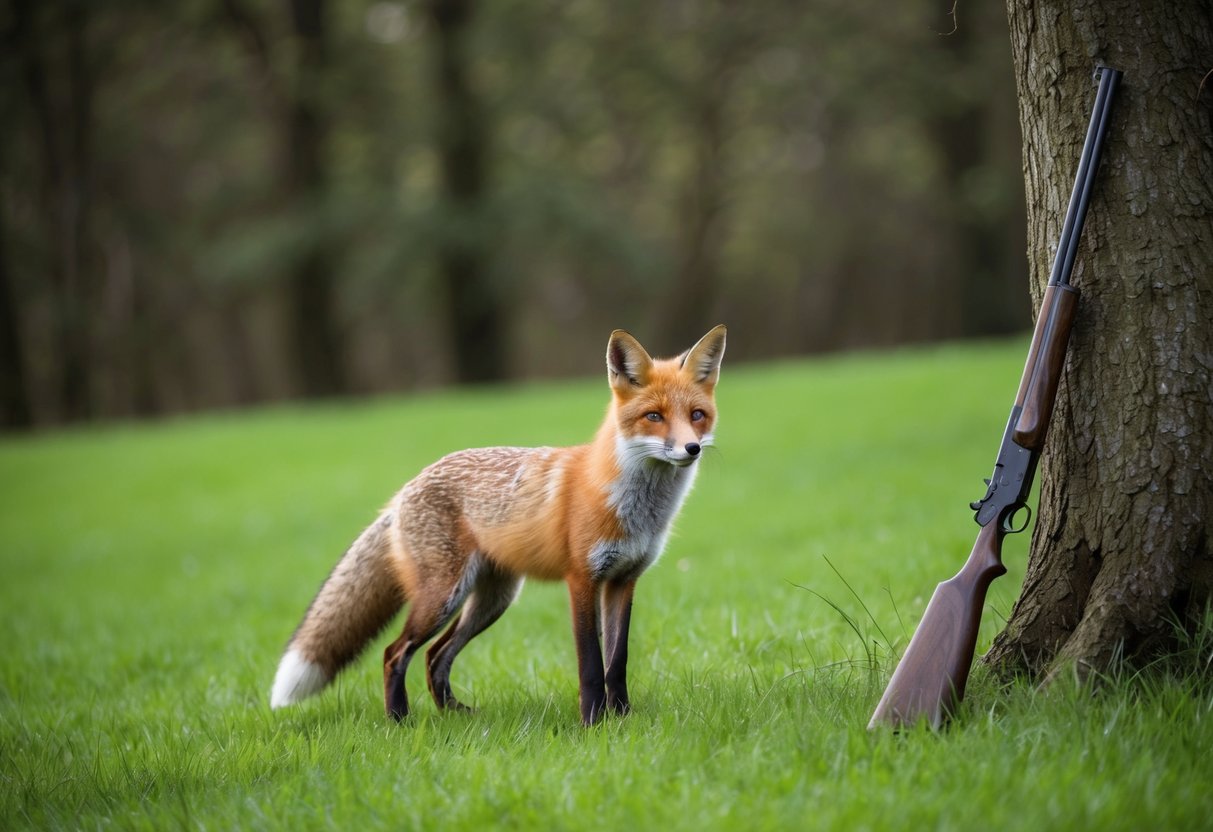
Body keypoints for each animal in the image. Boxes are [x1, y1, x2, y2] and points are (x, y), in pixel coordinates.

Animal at [270, 324, 726, 725]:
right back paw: (400, 720)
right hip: (443, 596)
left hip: (492, 599)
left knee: (436, 655)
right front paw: (593, 723)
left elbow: (618, 662)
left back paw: (454, 715)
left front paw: (623, 719)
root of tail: (404, 490)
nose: (691, 448)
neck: (635, 509)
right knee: (394, 653)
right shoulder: (581, 579)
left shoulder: (623, 580)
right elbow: (592, 665)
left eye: (697, 415)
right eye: (654, 416)